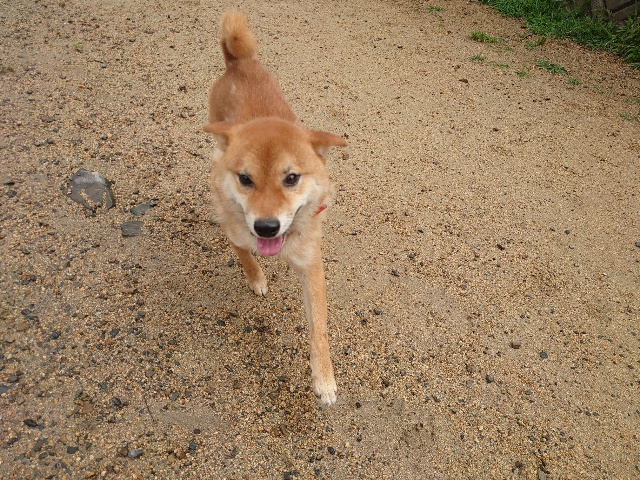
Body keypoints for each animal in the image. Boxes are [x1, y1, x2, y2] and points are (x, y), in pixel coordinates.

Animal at [203, 11, 347, 406]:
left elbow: (319, 329)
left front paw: (324, 380)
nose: (266, 227)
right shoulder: (235, 231)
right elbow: (244, 255)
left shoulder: (311, 266)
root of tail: (239, 63)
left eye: (292, 178)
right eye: (245, 179)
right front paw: (257, 280)